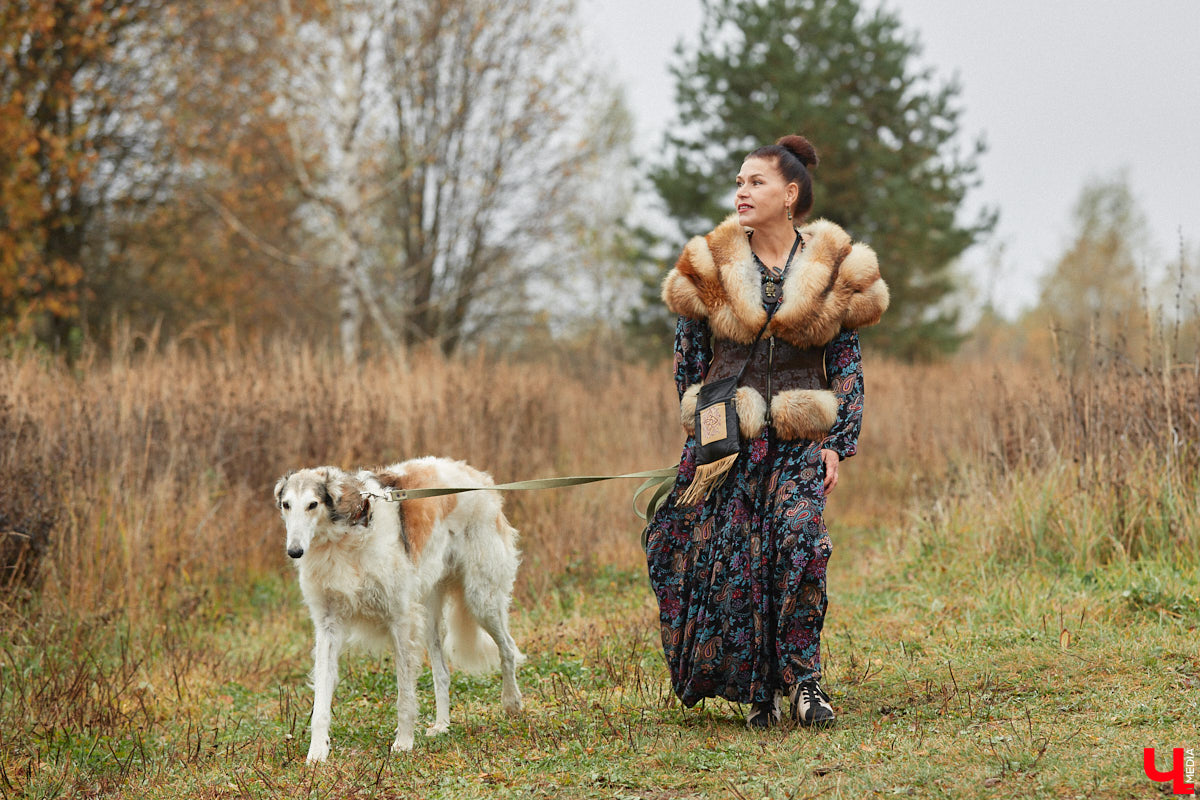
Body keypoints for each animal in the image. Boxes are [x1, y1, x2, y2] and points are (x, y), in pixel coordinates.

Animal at [278, 460, 528, 762]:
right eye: (286, 505)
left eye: (313, 504)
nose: (294, 551)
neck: (345, 533)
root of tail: (480, 477)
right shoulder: (328, 625)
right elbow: (321, 702)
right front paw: (317, 753)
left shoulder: (400, 618)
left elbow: (405, 695)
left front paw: (404, 742)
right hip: (428, 614)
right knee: (443, 673)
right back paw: (442, 725)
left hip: (481, 599)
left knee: (508, 649)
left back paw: (512, 703)